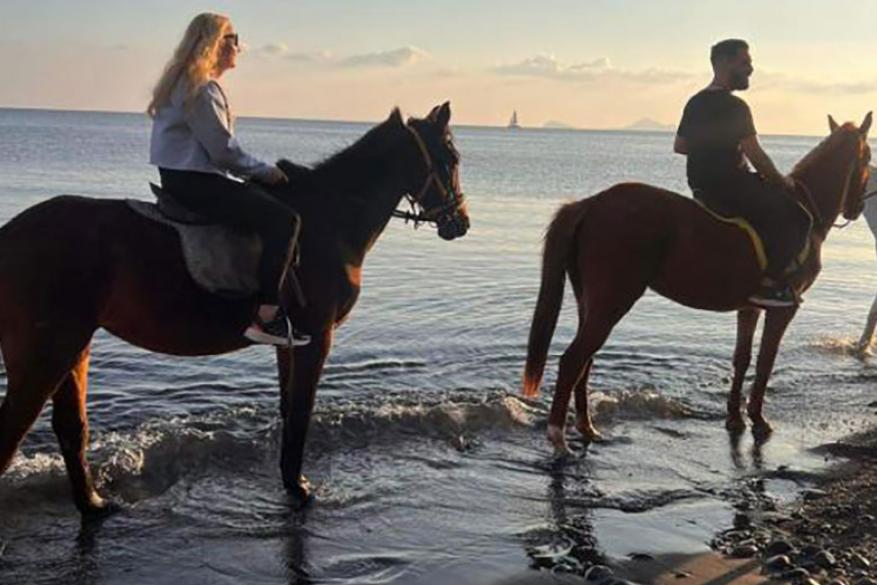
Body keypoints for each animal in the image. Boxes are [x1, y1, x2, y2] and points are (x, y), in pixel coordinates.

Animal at [0, 102, 469, 516]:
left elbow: (288, 408)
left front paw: (290, 479)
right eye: (451, 157)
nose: (460, 222)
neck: (330, 219)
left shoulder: (290, 340)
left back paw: (94, 504)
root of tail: (11, 233)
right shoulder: (317, 336)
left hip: (73, 345)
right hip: (46, 352)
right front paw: (299, 488)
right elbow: (302, 411)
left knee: (70, 429)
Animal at [523, 113, 872, 455]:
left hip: (591, 301)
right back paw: (559, 438)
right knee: (573, 360)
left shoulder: (750, 307)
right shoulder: (782, 310)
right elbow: (765, 362)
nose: (857, 207)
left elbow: (742, 359)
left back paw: (587, 428)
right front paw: (758, 419)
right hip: (613, 300)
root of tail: (591, 203)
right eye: (868, 156)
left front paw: (734, 417)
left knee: (586, 360)